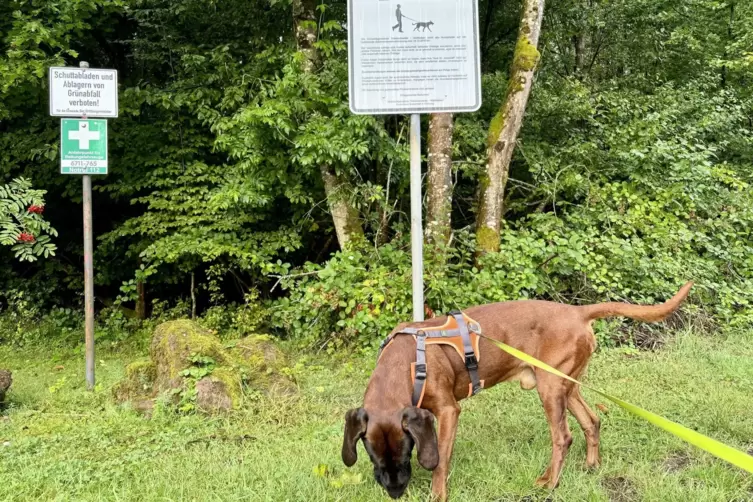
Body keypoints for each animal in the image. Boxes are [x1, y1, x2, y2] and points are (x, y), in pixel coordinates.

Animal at [344, 282, 692, 498]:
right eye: (372, 455)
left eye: (405, 452)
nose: (394, 492)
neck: (405, 364)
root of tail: (577, 311)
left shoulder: (448, 411)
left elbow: (441, 460)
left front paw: (437, 494)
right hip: (566, 385)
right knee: (592, 421)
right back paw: (591, 466)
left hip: (551, 388)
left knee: (563, 437)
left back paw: (549, 483)